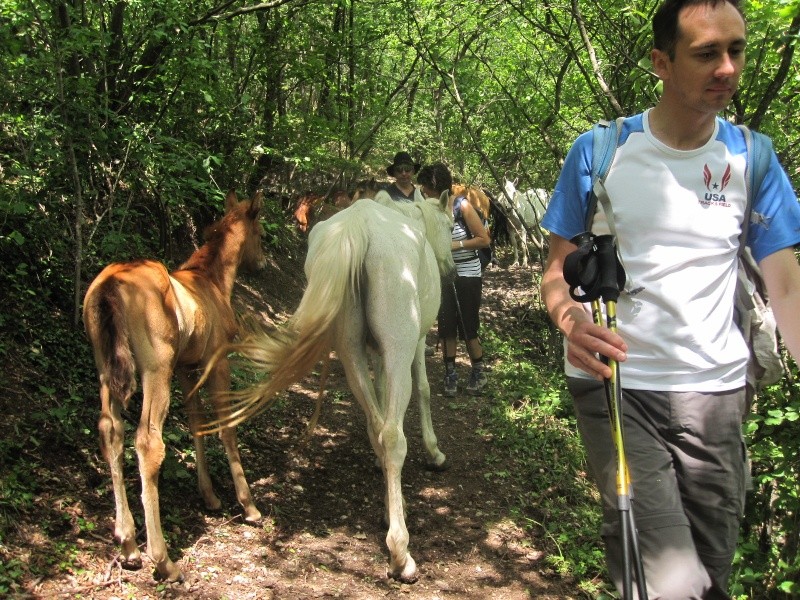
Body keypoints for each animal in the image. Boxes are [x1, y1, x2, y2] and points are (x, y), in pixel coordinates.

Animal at [83, 189, 266, 580]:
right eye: (259, 233)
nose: (261, 264)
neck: (210, 281)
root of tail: (110, 285)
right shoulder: (217, 362)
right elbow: (225, 427)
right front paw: (248, 506)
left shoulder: (186, 368)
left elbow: (196, 423)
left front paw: (209, 496)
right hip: (155, 369)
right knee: (148, 441)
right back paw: (162, 558)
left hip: (106, 370)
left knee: (110, 431)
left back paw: (128, 543)